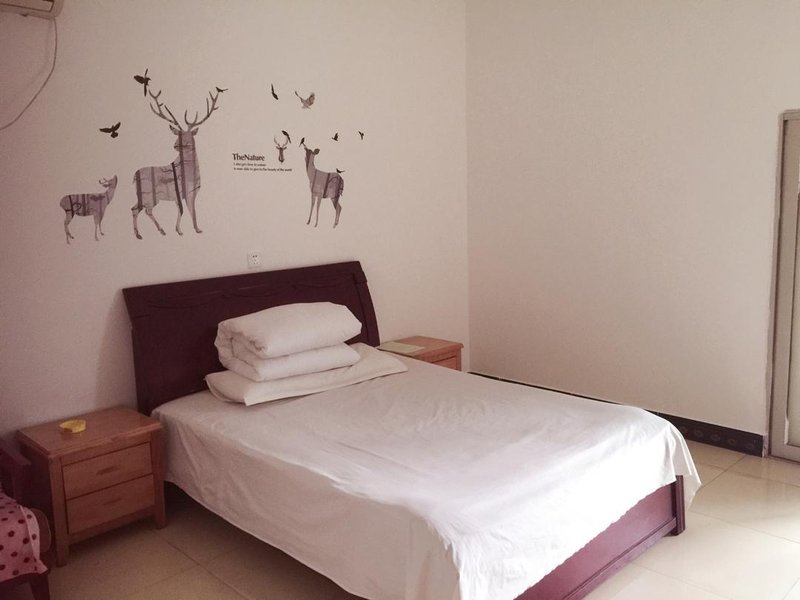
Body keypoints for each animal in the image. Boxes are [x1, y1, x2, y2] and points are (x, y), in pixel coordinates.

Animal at [131, 86, 220, 239]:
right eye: (178, 134)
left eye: (187, 135)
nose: (175, 145)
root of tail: (134, 176)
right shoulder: (189, 192)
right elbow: (192, 211)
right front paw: (197, 229)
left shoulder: (181, 195)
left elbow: (181, 211)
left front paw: (179, 230)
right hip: (148, 195)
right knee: (141, 210)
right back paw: (149, 232)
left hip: (146, 196)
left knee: (137, 209)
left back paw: (150, 232)